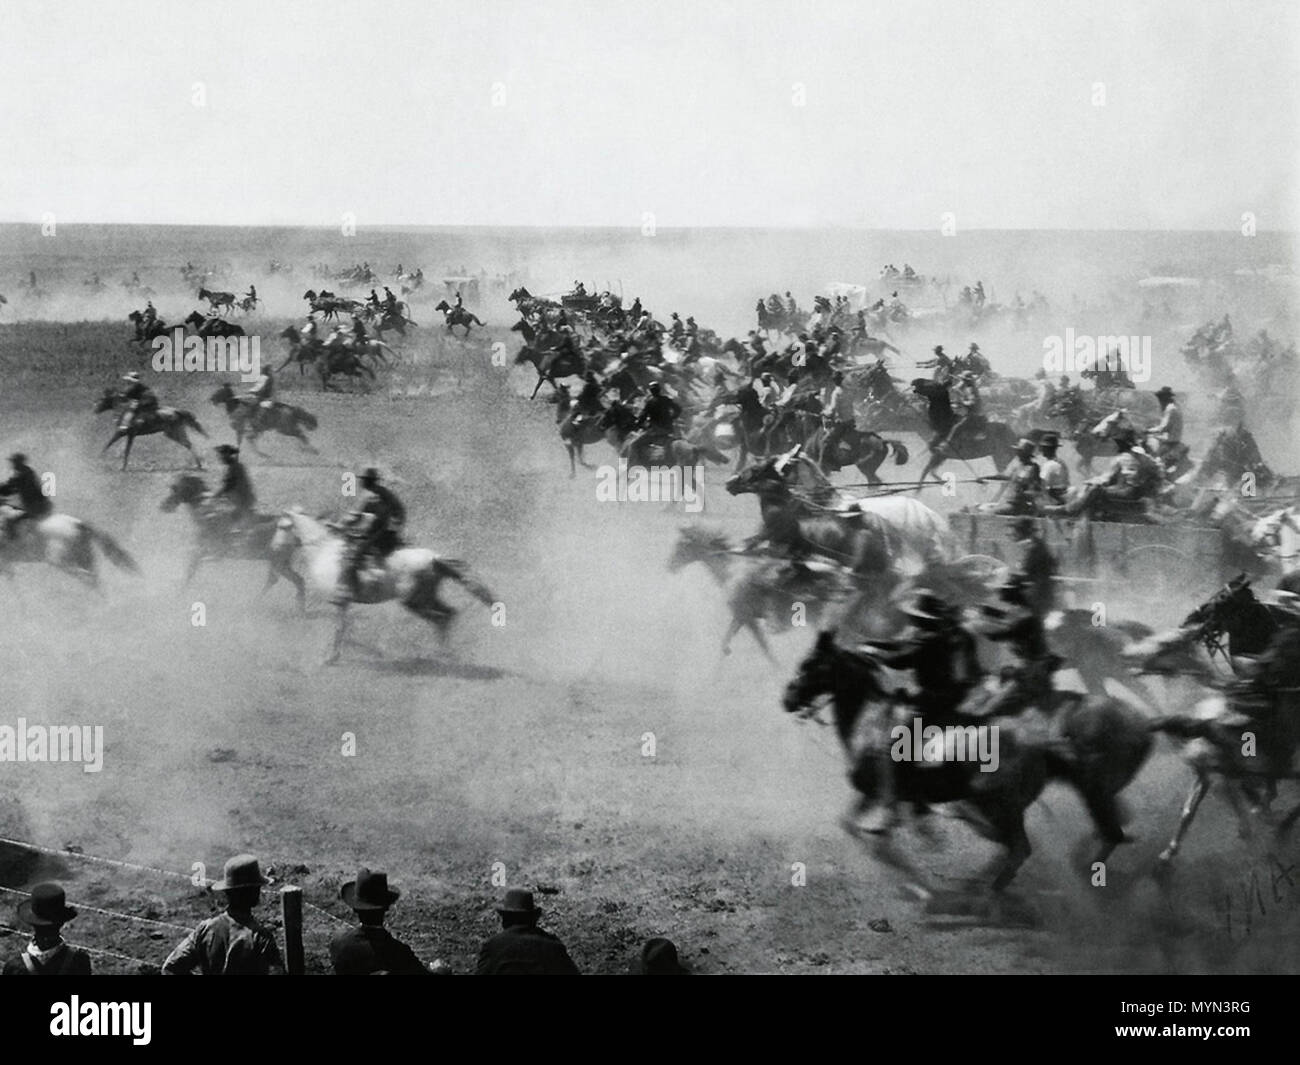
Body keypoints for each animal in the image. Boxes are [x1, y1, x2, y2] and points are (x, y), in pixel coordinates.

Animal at [0, 507, 139, 587]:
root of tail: (78, 523)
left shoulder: (6, 566)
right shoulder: (6, 567)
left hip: (62, 563)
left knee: (89, 578)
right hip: (83, 558)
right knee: (95, 581)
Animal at [271, 509, 493, 665]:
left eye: (282, 527)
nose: (274, 548)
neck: (323, 551)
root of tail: (434, 558)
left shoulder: (340, 602)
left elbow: (339, 628)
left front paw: (331, 657)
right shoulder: (344, 603)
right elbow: (343, 628)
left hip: (414, 601)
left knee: (441, 618)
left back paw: (443, 654)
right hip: (426, 597)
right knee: (448, 614)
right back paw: (445, 654)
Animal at [785, 631, 1154, 899]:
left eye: (810, 664)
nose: (787, 698)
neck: (870, 718)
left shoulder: (882, 791)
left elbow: (878, 830)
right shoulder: (878, 795)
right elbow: (857, 823)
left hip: (1002, 805)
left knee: (1020, 847)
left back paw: (988, 891)